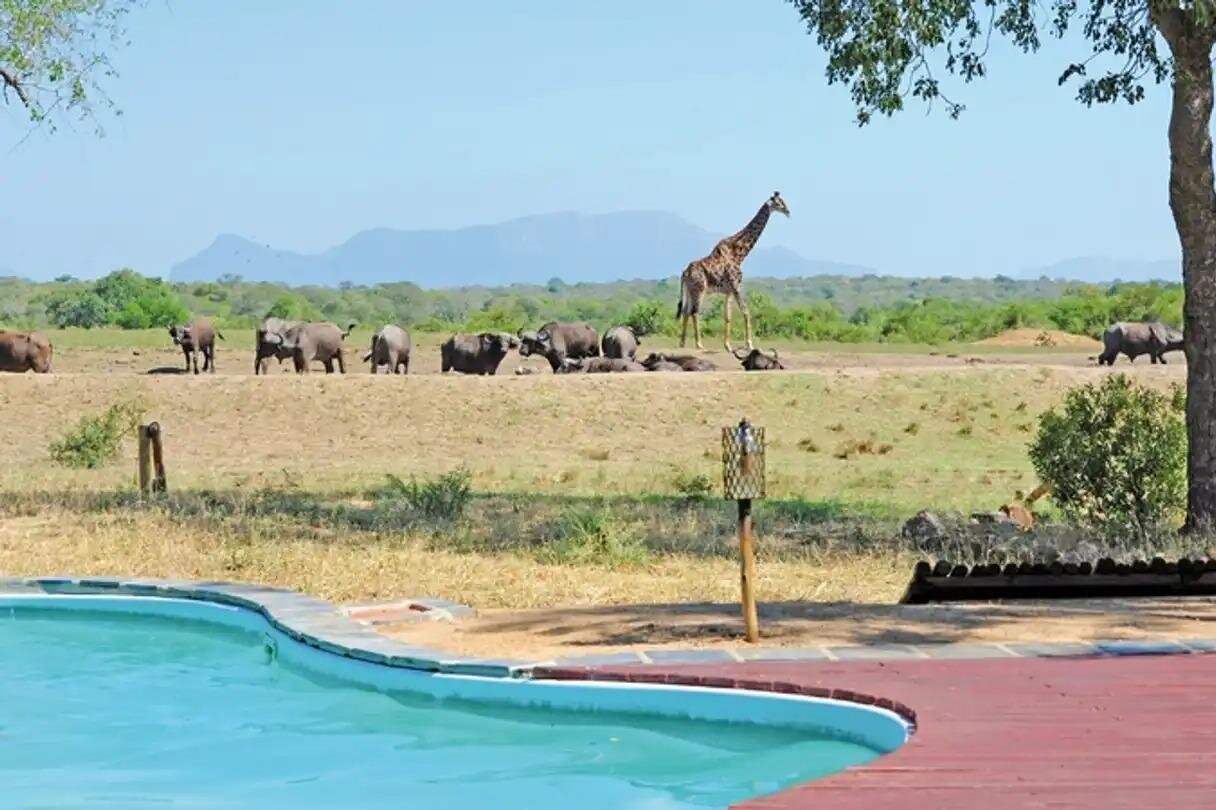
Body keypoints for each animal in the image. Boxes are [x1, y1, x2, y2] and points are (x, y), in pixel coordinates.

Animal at [677, 191, 790, 352]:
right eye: (779, 202)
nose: (788, 211)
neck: (739, 253)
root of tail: (684, 273)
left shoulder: (729, 291)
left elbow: (727, 317)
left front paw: (728, 346)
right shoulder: (736, 286)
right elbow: (746, 311)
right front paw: (749, 344)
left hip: (688, 290)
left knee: (686, 311)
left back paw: (682, 343)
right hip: (699, 289)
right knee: (695, 312)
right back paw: (699, 344)